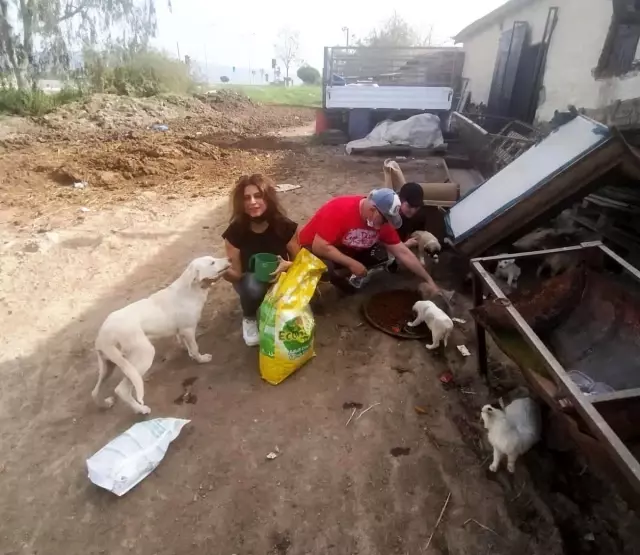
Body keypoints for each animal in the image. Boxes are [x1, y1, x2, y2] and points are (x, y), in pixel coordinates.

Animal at [90, 255, 230, 412]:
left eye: (214, 258)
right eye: (212, 262)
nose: (229, 259)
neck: (190, 291)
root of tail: (103, 335)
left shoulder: (182, 331)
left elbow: (186, 345)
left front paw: (189, 353)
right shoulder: (188, 329)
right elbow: (195, 348)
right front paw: (201, 359)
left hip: (108, 365)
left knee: (94, 391)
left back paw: (105, 403)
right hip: (142, 357)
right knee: (121, 390)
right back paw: (141, 409)